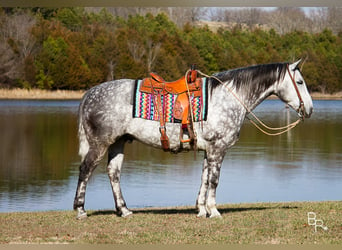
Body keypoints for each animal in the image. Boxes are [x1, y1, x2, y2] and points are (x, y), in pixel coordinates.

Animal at [74, 60, 312, 219]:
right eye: (300, 82)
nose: (309, 109)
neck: (227, 97)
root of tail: (89, 94)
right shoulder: (218, 148)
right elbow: (214, 180)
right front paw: (214, 211)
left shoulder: (209, 150)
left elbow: (204, 179)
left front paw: (201, 209)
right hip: (99, 143)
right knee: (85, 169)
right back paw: (80, 210)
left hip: (118, 142)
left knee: (113, 173)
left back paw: (124, 210)